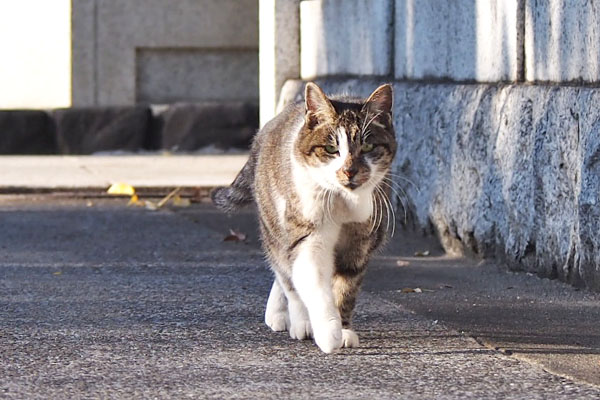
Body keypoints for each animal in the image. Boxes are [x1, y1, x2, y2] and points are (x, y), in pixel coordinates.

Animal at [212, 82, 398, 354]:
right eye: (332, 149)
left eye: (367, 147)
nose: (349, 171)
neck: (341, 202)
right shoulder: (307, 236)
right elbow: (314, 284)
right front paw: (328, 332)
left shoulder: (360, 242)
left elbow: (346, 287)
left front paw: (343, 329)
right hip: (275, 226)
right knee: (287, 277)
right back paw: (297, 322)